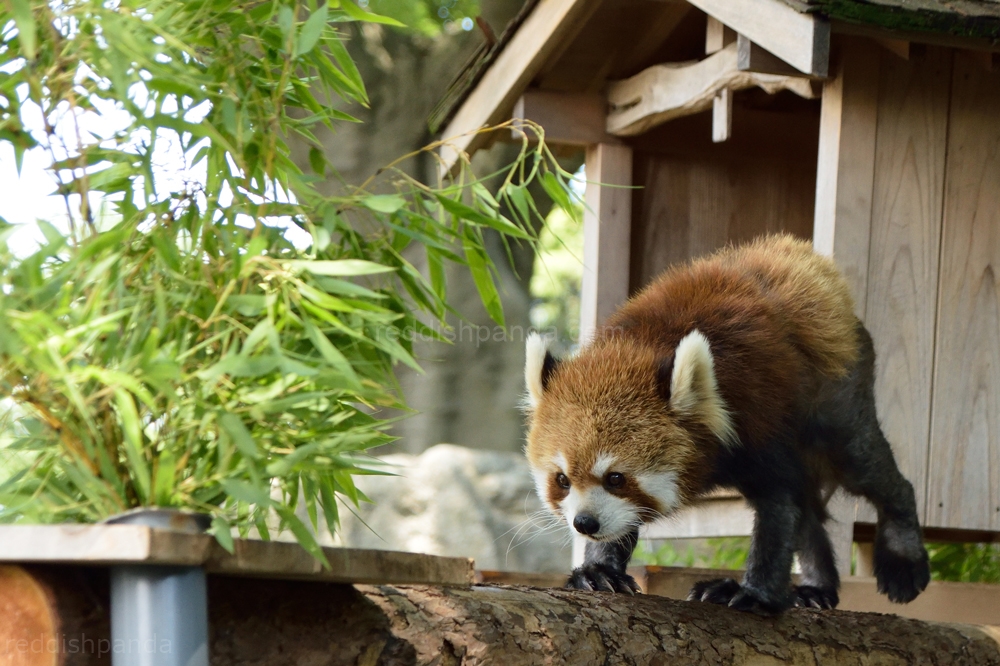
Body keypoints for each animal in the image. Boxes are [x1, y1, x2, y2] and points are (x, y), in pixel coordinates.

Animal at [524, 233, 928, 612]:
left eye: (616, 478)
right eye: (562, 480)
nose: (584, 523)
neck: (642, 346)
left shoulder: (759, 415)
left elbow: (780, 505)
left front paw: (753, 593)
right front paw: (600, 570)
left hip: (836, 395)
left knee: (864, 465)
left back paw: (903, 555)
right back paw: (817, 587)